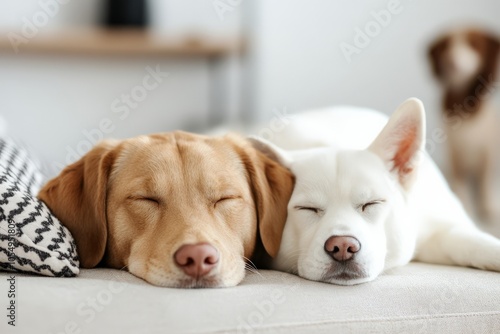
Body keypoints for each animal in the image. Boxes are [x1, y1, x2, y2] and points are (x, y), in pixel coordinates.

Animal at [428, 28, 498, 222]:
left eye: (473, 44)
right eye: (446, 46)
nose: (452, 62)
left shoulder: (487, 152)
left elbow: (485, 183)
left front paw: (488, 208)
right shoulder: (454, 155)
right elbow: (460, 185)